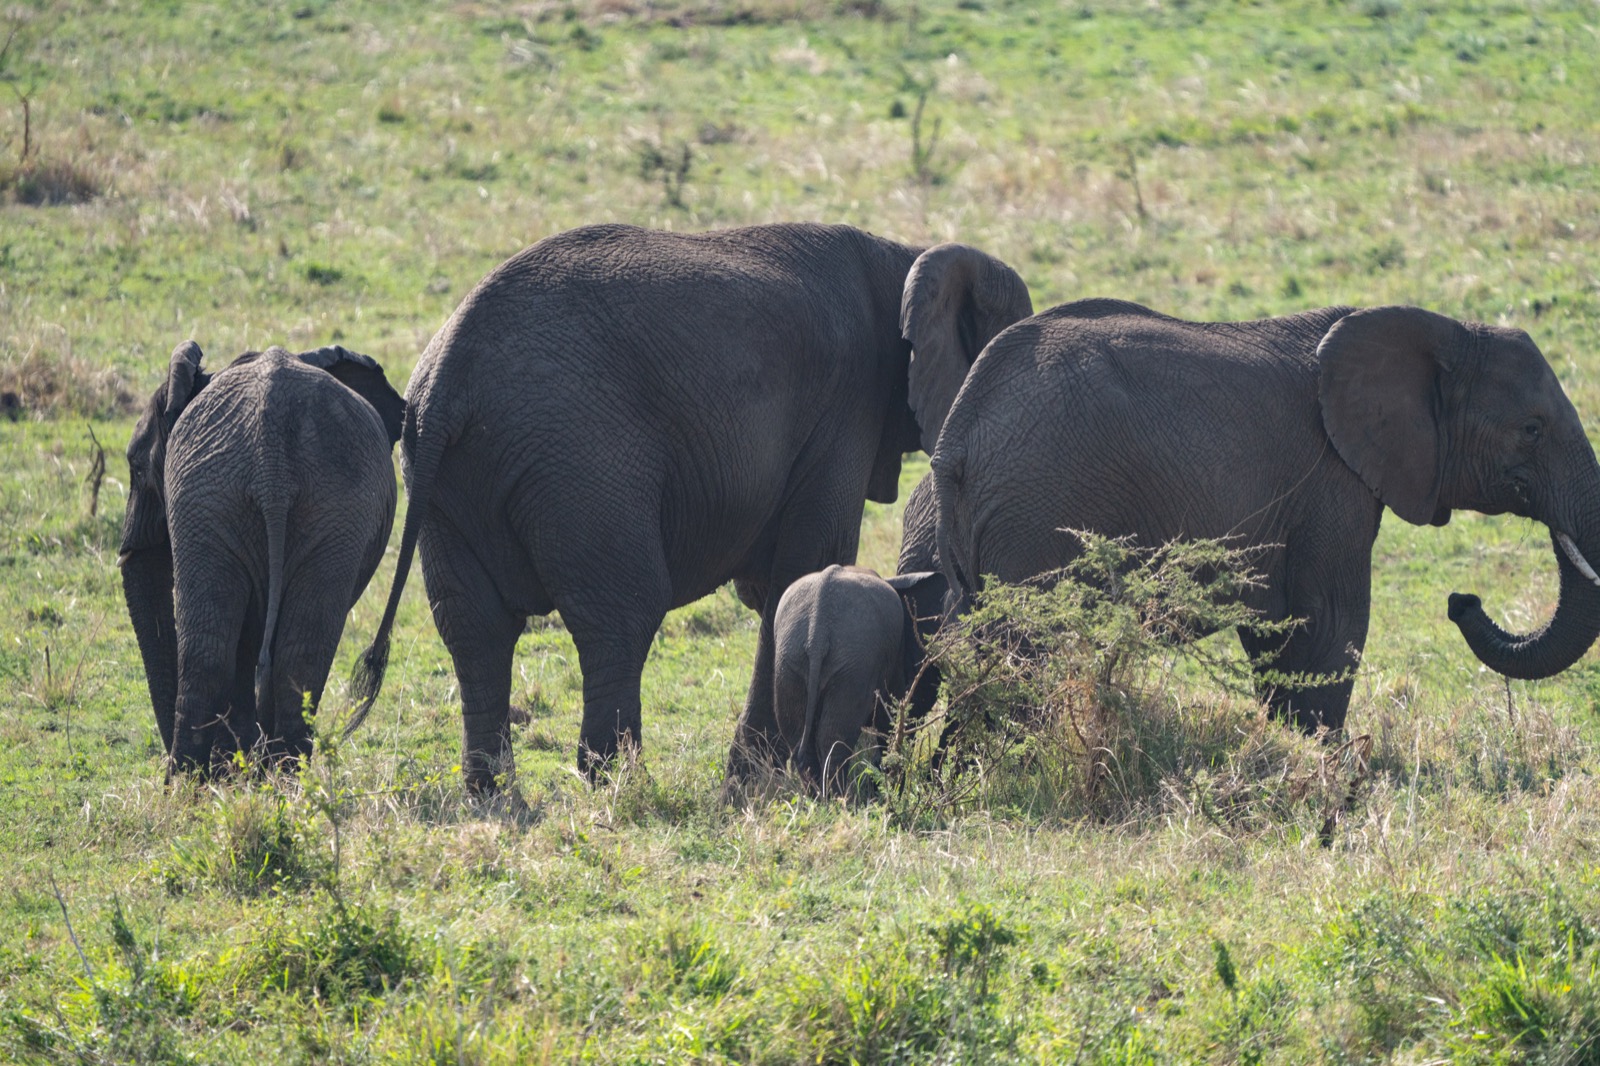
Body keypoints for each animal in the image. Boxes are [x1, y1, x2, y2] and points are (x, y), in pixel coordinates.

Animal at [119, 341, 405, 770]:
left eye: (135, 467)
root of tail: (272, 458)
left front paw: (236, 762)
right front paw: (240, 762)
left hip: (221, 496)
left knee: (226, 649)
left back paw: (200, 779)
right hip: (275, 500)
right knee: (284, 654)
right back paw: (274, 776)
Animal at [772, 565, 949, 795]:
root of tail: (817, 634)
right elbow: (889, 717)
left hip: (790, 660)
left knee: (798, 737)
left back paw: (819, 798)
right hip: (852, 664)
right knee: (833, 739)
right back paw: (838, 800)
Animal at [899, 280, 1600, 732]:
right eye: (1532, 430)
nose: (1462, 601)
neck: (1442, 331)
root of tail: (958, 434)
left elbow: (1281, 632)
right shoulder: (1330, 482)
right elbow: (1330, 624)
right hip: (1037, 513)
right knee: (1022, 655)